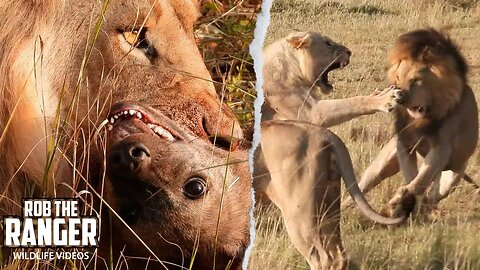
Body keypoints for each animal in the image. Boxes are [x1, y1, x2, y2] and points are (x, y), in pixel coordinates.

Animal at [253, 30, 410, 268]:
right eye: (327, 43)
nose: (349, 52)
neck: (290, 65)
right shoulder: (309, 112)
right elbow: (350, 103)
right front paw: (384, 98)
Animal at [354, 28, 478, 217]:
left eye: (415, 80)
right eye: (398, 78)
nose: (400, 98)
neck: (421, 119)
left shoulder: (442, 148)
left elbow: (422, 178)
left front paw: (402, 199)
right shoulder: (403, 143)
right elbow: (411, 174)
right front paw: (402, 200)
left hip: (454, 174)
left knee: (434, 194)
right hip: (380, 167)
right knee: (361, 186)